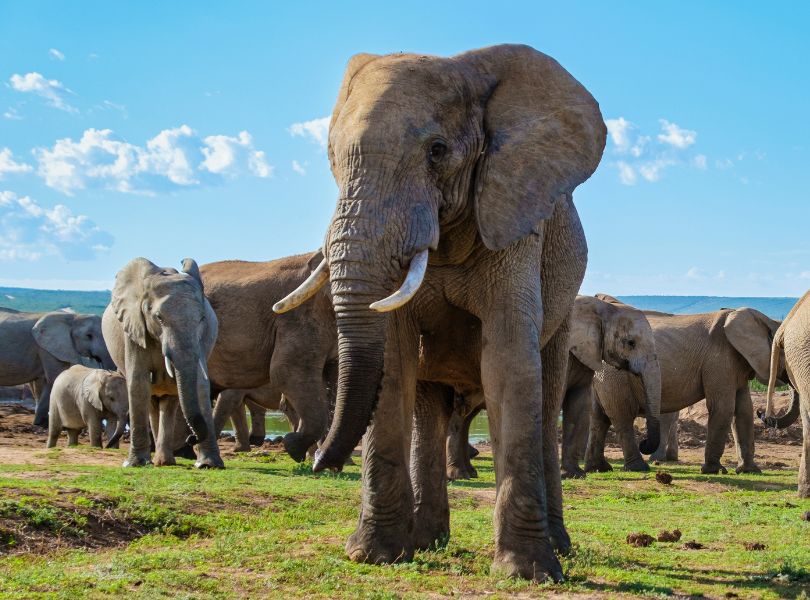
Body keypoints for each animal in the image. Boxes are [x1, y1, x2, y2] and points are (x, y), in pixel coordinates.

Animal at [101, 257, 224, 469]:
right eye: (158, 318)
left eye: (202, 318)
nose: (191, 438)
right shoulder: (134, 329)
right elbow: (138, 382)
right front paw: (135, 464)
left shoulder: (202, 339)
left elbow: (200, 384)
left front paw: (208, 465)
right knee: (151, 399)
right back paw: (159, 461)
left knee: (170, 401)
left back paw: (164, 461)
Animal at [274, 44, 605, 581]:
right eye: (332, 158)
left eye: (437, 150)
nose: (319, 460)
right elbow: (394, 364)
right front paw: (373, 555)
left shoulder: (514, 219)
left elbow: (510, 364)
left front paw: (527, 572)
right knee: (428, 406)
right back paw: (426, 543)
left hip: (565, 300)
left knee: (547, 390)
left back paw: (560, 547)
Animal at [441, 294, 662, 480]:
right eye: (630, 343)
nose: (644, 443)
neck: (601, 307)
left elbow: (578, 407)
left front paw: (574, 474)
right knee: (459, 416)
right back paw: (459, 475)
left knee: (465, 416)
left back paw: (469, 473)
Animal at [587, 303, 785, 475]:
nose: (764, 414)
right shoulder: (719, 361)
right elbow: (723, 408)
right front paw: (713, 471)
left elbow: (743, 410)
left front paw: (749, 471)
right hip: (615, 377)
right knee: (622, 416)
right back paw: (638, 468)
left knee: (599, 418)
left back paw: (599, 468)